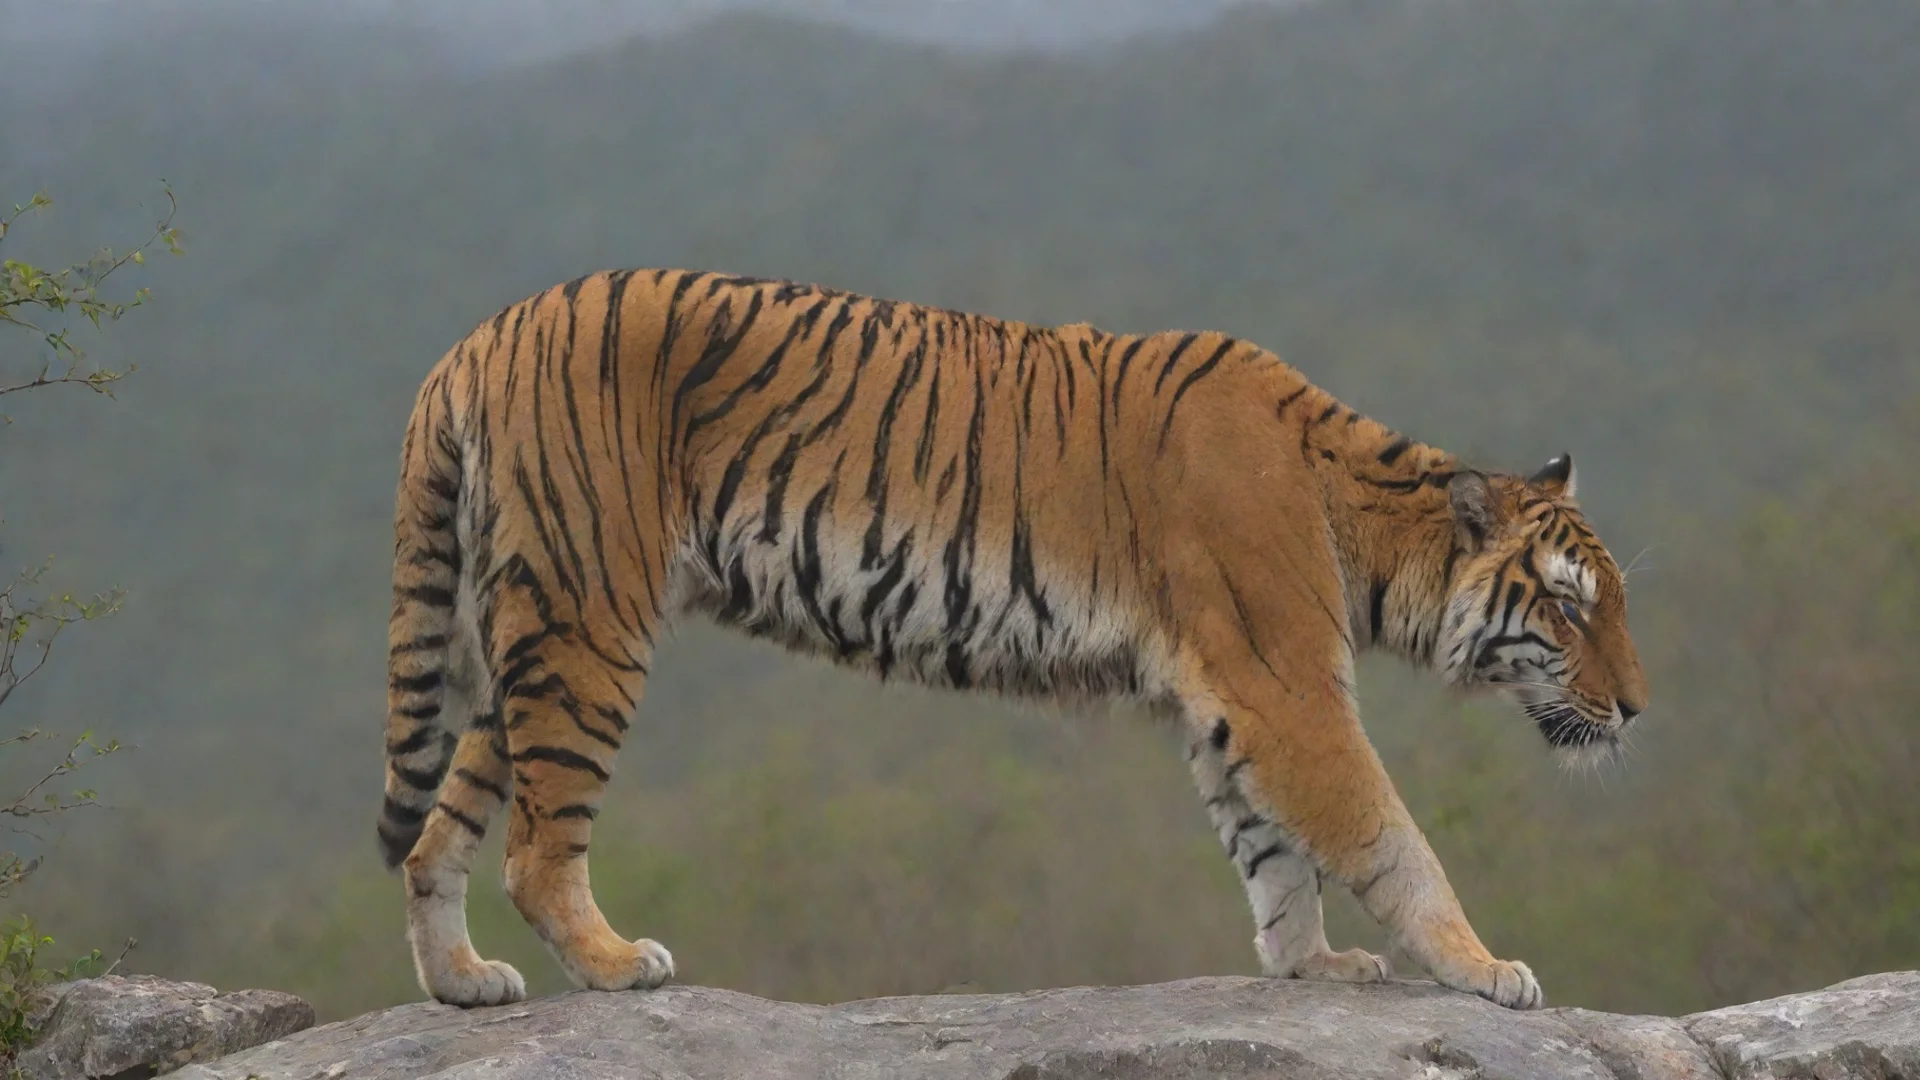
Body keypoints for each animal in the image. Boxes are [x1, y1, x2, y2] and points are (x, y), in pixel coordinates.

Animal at [378, 269, 1649, 1012]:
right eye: (1572, 606)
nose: (1640, 710)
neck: (1365, 517)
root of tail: (476, 337)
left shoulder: (1226, 704)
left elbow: (1273, 853)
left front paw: (1310, 965)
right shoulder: (1285, 688)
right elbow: (1388, 837)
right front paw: (1484, 967)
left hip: (518, 636)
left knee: (435, 834)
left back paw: (465, 983)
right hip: (589, 617)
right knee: (536, 845)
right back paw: (612, 962)